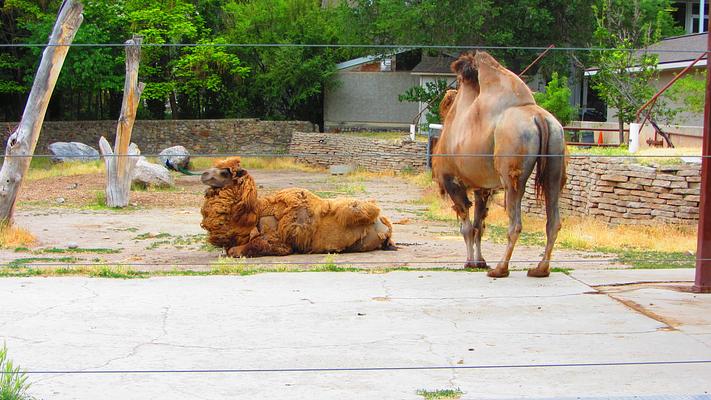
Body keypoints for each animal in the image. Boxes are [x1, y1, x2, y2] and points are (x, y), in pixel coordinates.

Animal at [200, 158, 394, 258]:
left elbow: (251, 245)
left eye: (224, 172)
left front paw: (236, 251)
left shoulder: (279, 242)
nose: (203, 174)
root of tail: (385, 225)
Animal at [434, 52, 568, 278]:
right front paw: (480, 262)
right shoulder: (483, 188)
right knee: (553, 219)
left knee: (515, 223)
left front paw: (470, 262)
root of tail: (539, 118)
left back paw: (500, 269)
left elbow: (467, 228)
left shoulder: (452, 180)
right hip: (555, 156)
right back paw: (540, 269)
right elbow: (479, 226)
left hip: (511, 171)